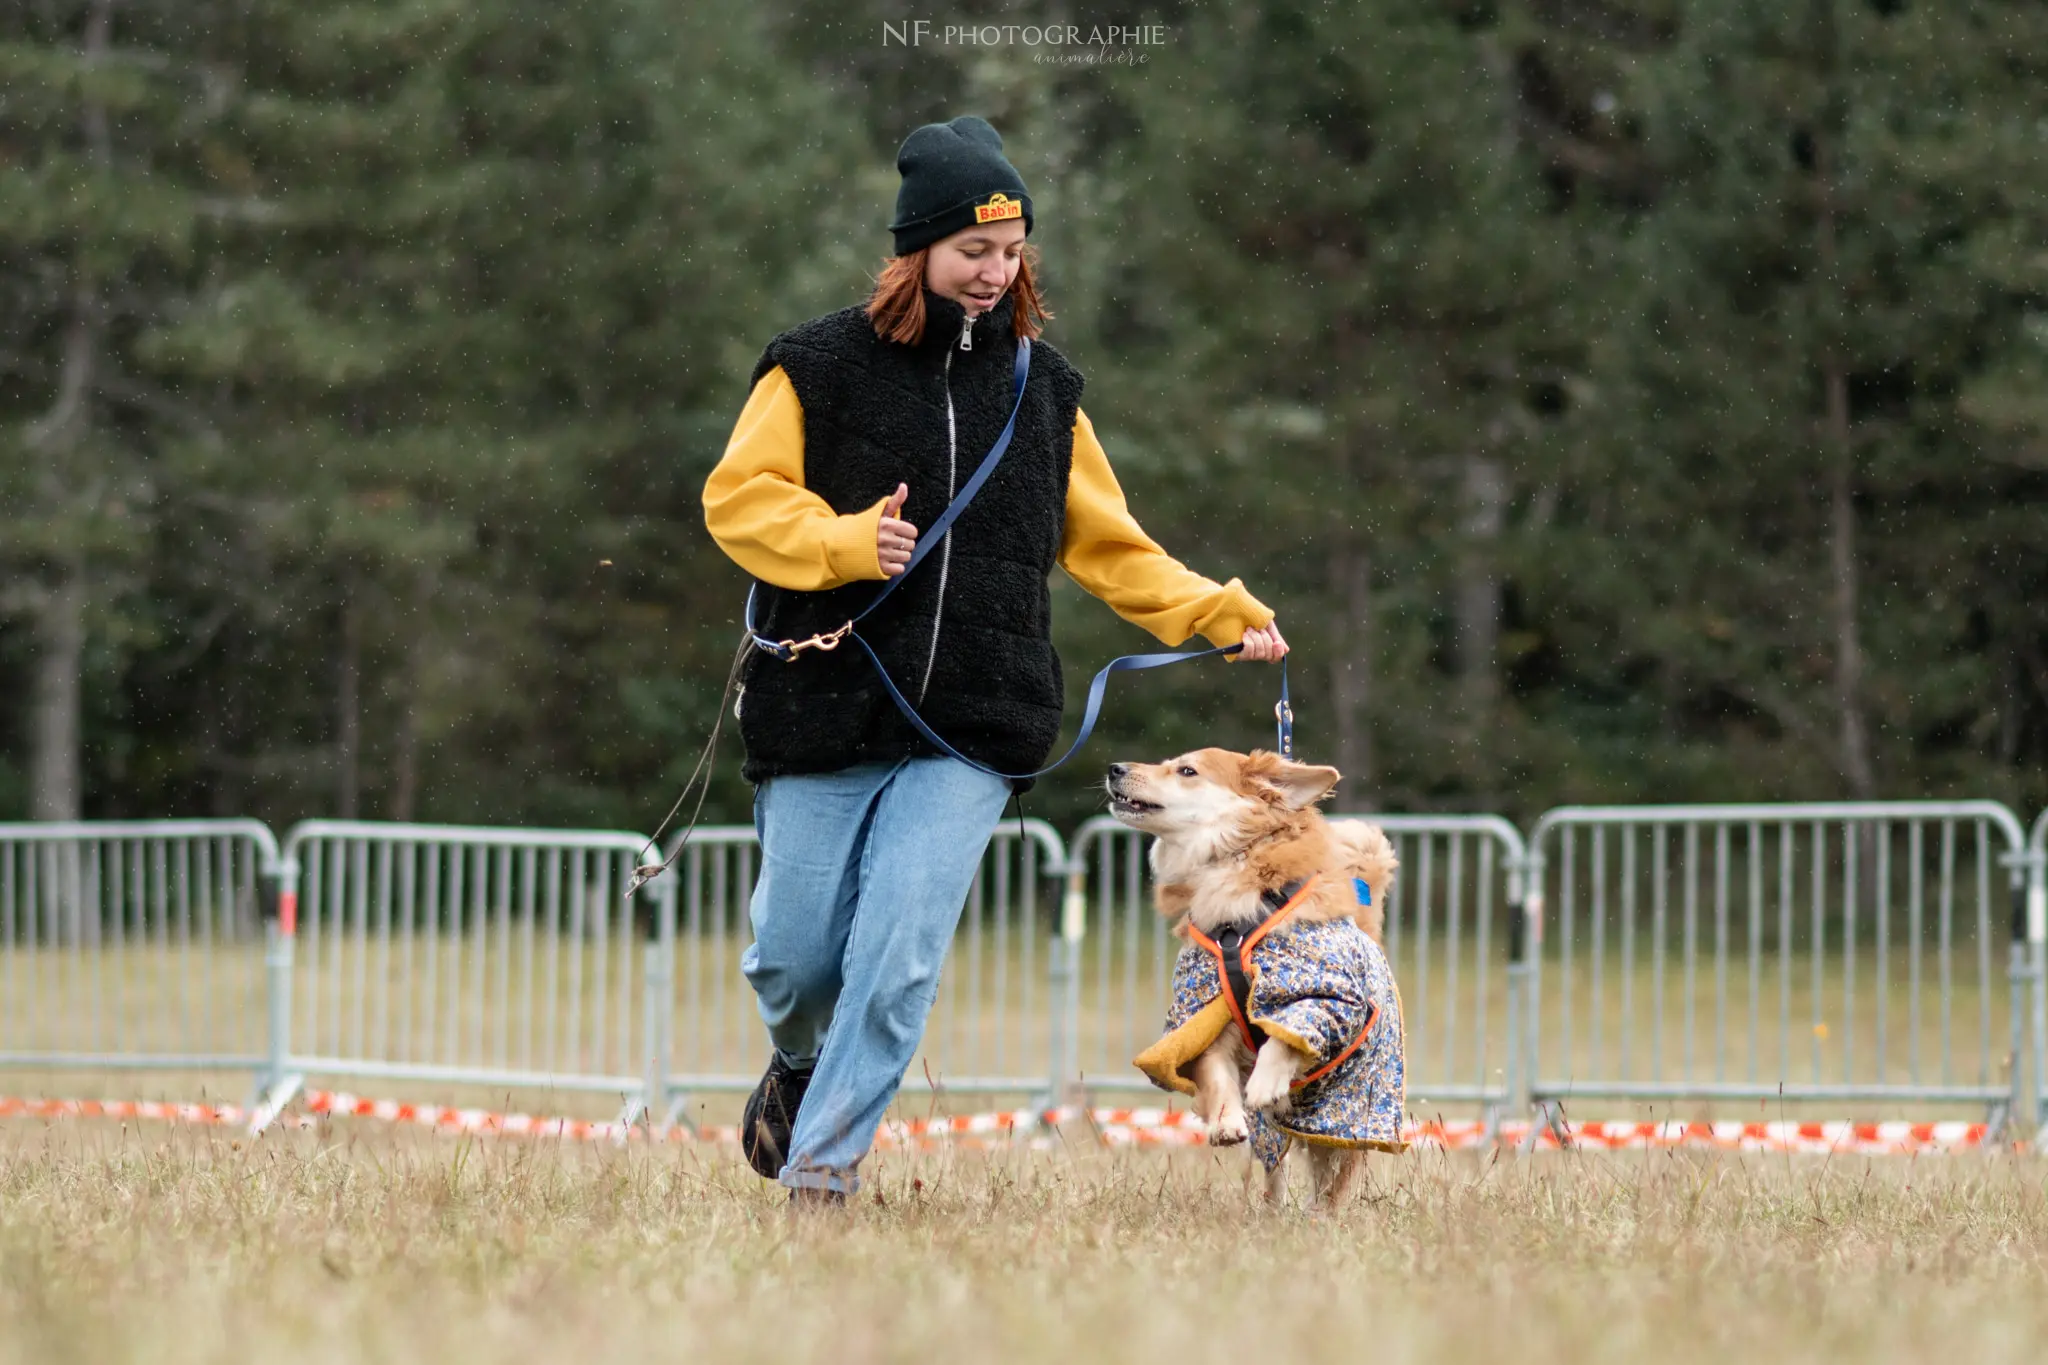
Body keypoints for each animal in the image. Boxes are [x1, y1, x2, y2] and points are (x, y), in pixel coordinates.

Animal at [1105, 753, 1409, 1211]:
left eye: (1187, 770)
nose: (1115, 768)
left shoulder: (1329, 1000)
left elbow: (1287, 1036)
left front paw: (1265, 1084)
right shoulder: (1205, 1016)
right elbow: (1215, 1073)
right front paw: (1225, 1122)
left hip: (1347, 1112)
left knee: (1332, 1176)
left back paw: (1320, 1216)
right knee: (1275, 1164)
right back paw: (1269, 1211)